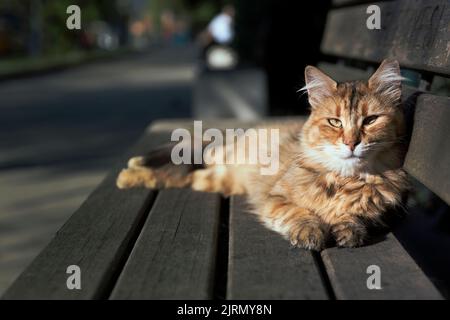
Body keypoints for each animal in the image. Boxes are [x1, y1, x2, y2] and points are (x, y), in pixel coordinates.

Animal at [115, 58, 408, 251]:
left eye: (370, 120)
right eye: (335, 122)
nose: (351, 143)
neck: (344, 180)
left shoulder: (375, 211)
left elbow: (354, 216)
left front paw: (347, 228)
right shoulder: (274, 198)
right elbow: (299, 213)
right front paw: (311, 231)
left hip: (216, 179)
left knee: (180, 176)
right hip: (220, 156)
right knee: (193, 151)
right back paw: (130, 170)